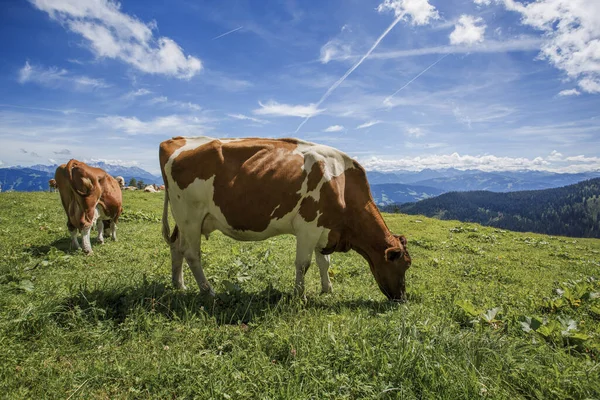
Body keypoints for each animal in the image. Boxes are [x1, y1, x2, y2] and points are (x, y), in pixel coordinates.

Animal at [158, 137, 412, 300]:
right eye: (405, 264)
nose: (401, 297)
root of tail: (175, 140)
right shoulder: (308, 226)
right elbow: (304, 263)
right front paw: (299, 295)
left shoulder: (324, 228)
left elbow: (324, 262)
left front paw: (327, 289)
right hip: (190, 215)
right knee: (192, 254)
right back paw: (207, 291)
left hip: (185, 220)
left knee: (177, 247)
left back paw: (179, 284)